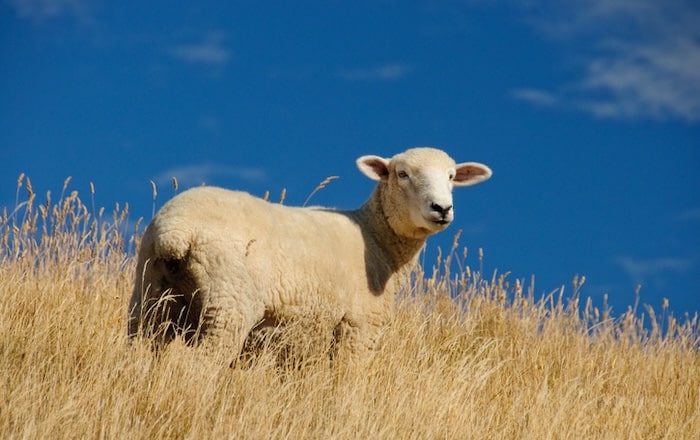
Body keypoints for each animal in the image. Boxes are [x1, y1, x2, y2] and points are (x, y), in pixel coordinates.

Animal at [128, 147, 492, 363]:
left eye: (451, 177)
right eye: (402, 174)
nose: (442, 208)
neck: (375, 238)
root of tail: (175, 230)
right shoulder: (357, 328)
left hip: (149, 296)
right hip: (227, 303)